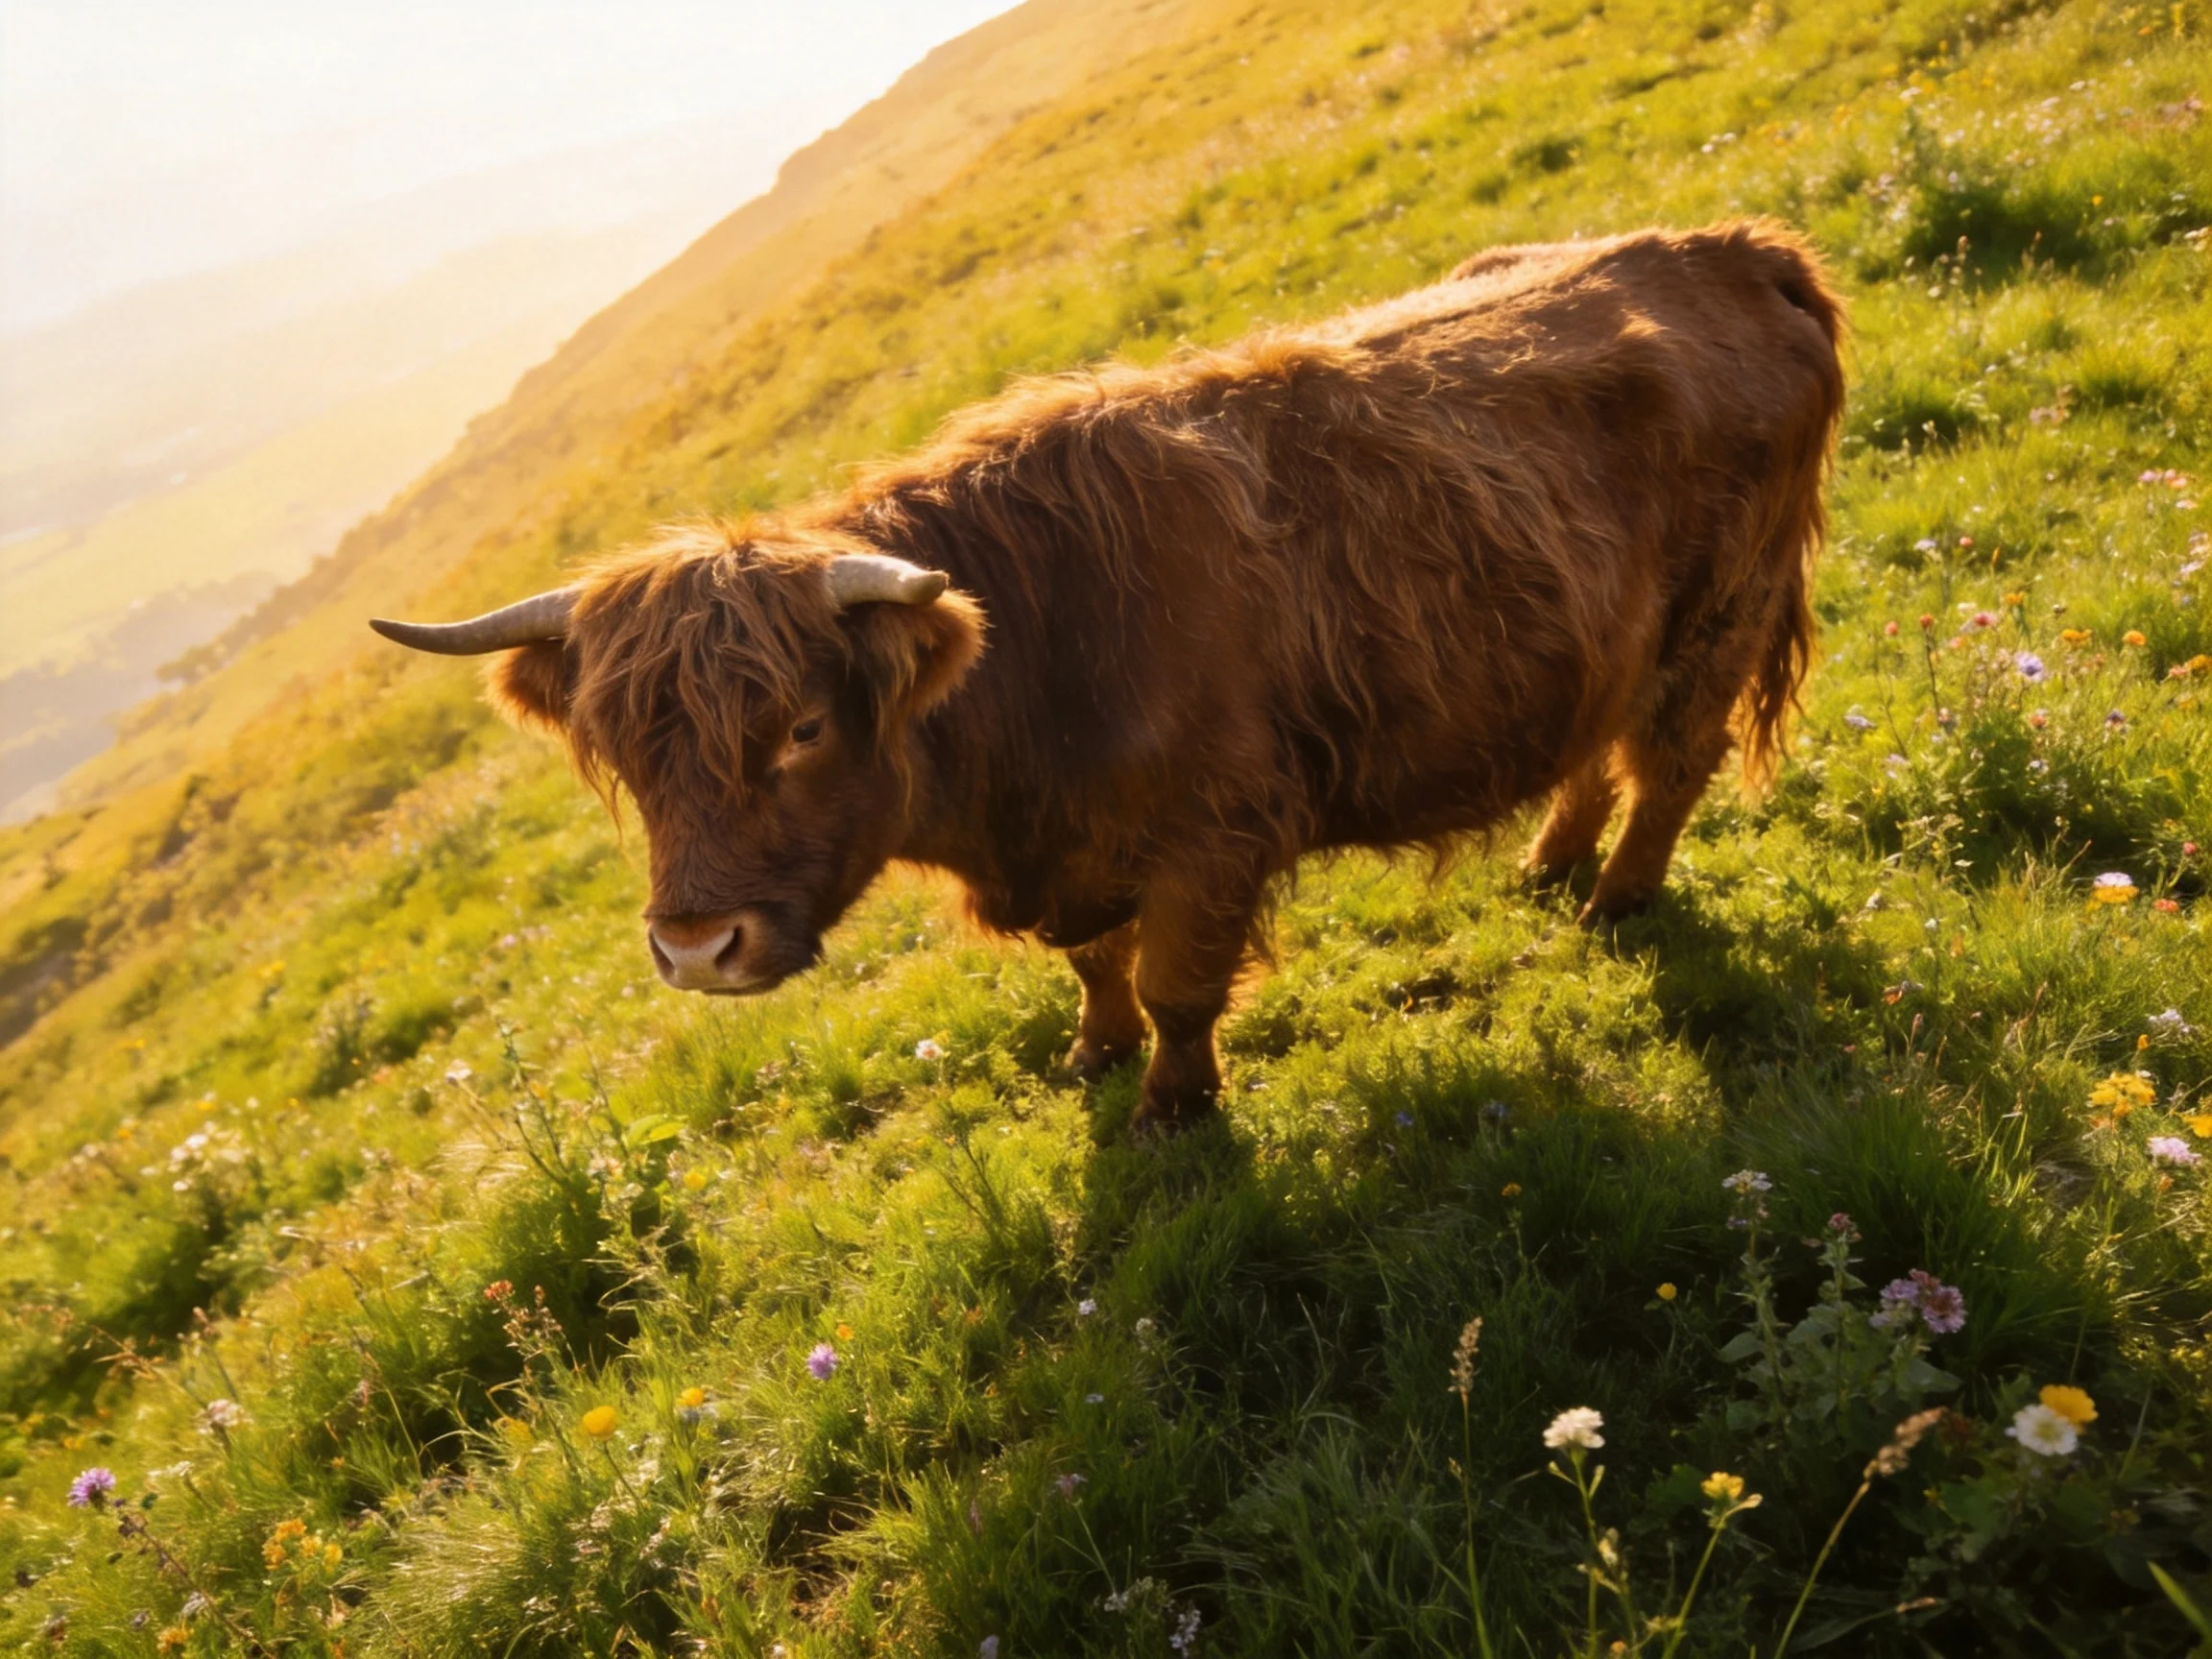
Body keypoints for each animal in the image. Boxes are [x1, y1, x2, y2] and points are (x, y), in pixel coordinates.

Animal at [372, 220, 1845, 1135]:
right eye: (629, 760)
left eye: (797, 728)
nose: (696, 947)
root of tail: (1734, 250)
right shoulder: (1074, 854)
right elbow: (1095, 964)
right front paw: (1095, 1052)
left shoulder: (1213, 834)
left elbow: (1185, 982)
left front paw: (1171, 1110)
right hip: (1612, 636)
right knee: (1596, 746)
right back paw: (1547, 863)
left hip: (1718, 620)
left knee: (1669, 764)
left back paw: (1613, 901)